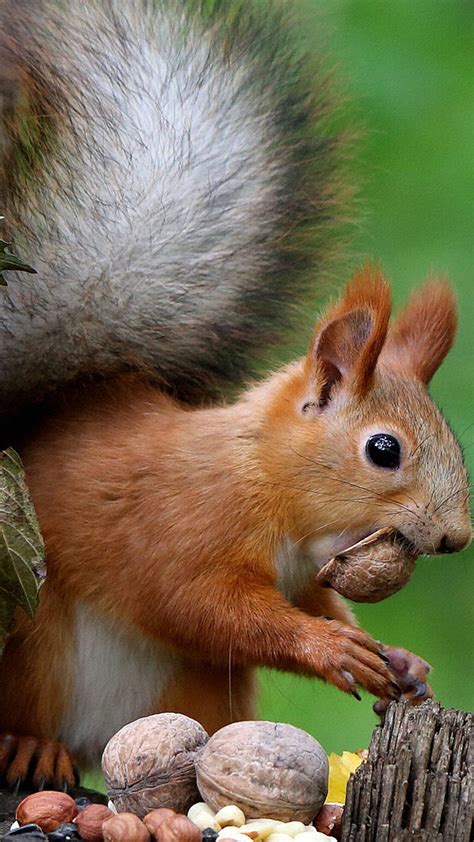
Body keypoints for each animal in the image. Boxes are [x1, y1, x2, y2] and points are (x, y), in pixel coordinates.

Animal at [0, 0, 468, 792]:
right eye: (384, 449)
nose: (456, 537)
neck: (272, 485)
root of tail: (92, 744)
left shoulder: (306, 575)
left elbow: (319, 605)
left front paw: (398, 660)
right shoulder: (185, 523)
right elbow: (201, 605)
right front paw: (330, 649)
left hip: (198, 691)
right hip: (34, 642)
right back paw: (32, 747)